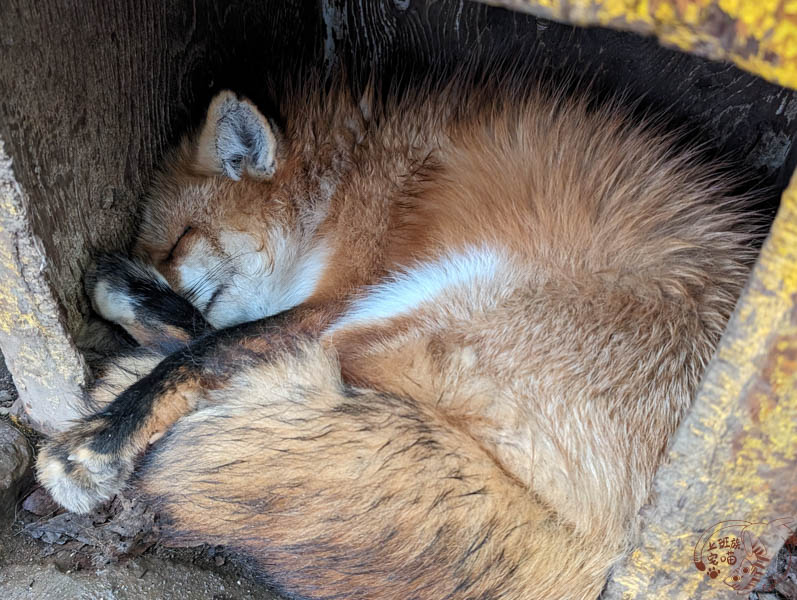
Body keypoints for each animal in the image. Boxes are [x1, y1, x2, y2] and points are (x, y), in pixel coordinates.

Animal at [35, 68, 752, 596]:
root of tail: (607, 545)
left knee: (246, 361)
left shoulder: (340, 290)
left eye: (181, 240)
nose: (154, 271)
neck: (343, 180)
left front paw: (95, 445)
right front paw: (127, 292)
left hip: (415, 300)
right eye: (159, 246)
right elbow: (205, 332)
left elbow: (212, 348)